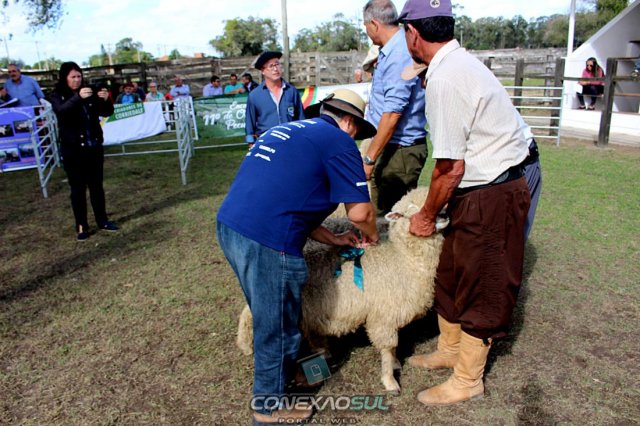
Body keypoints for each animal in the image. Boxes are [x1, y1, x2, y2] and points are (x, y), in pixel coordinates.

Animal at [236, 186, 446, 394]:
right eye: (411, 209)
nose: (443, 215)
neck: (403, 258)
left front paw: (394, 365)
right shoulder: (383, 316)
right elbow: (388, 347)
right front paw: (390, 380)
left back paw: (323, 351)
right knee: (251, 315)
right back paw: (246, 346)